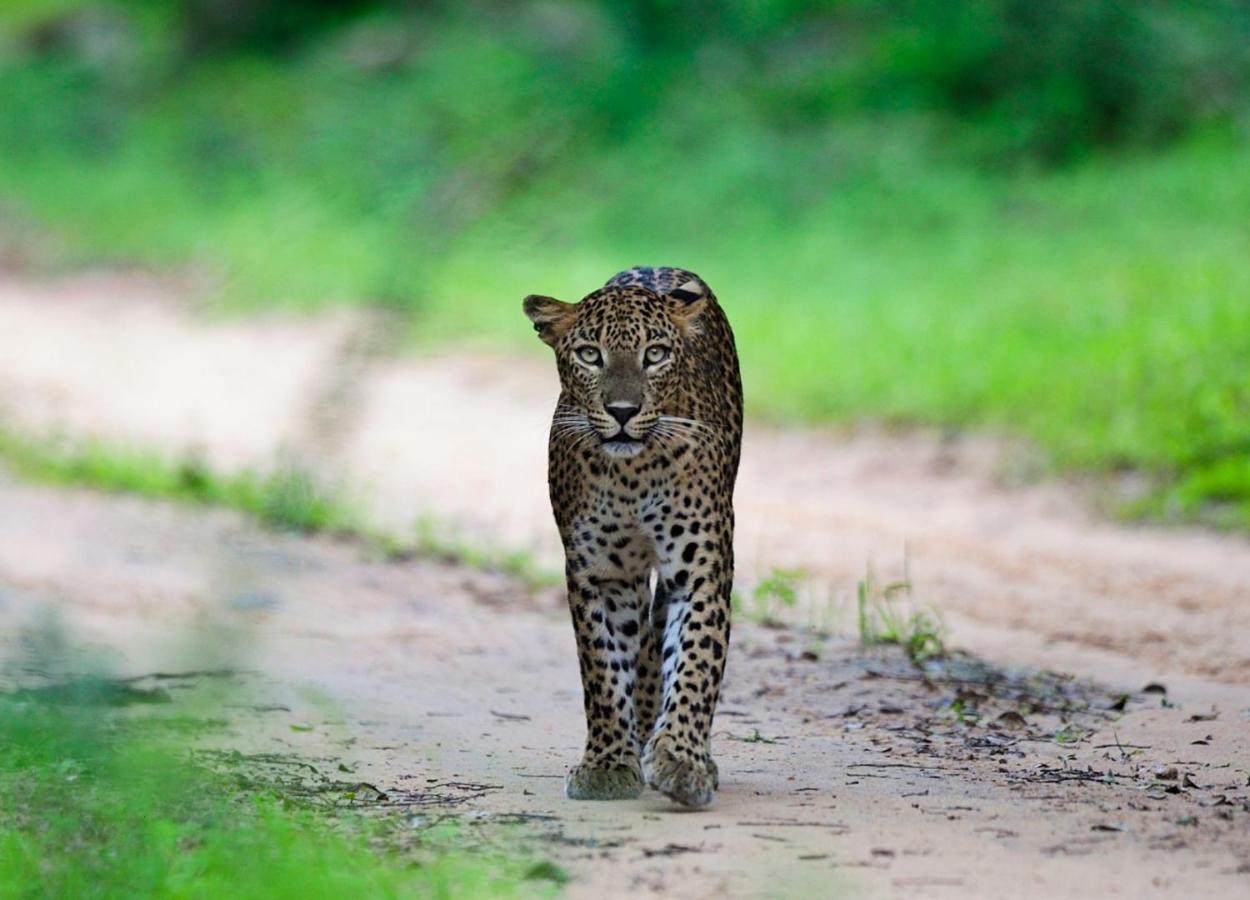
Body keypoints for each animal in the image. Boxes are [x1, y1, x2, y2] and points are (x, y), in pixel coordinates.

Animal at [525, 263, 740, 805]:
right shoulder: (601, 573)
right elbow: (603, 669)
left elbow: (696, 659)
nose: (622, 410)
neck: (632, 473)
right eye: (590, 355)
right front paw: (607, 765)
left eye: (655, 354)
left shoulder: (700, 569)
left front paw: (682, 760)